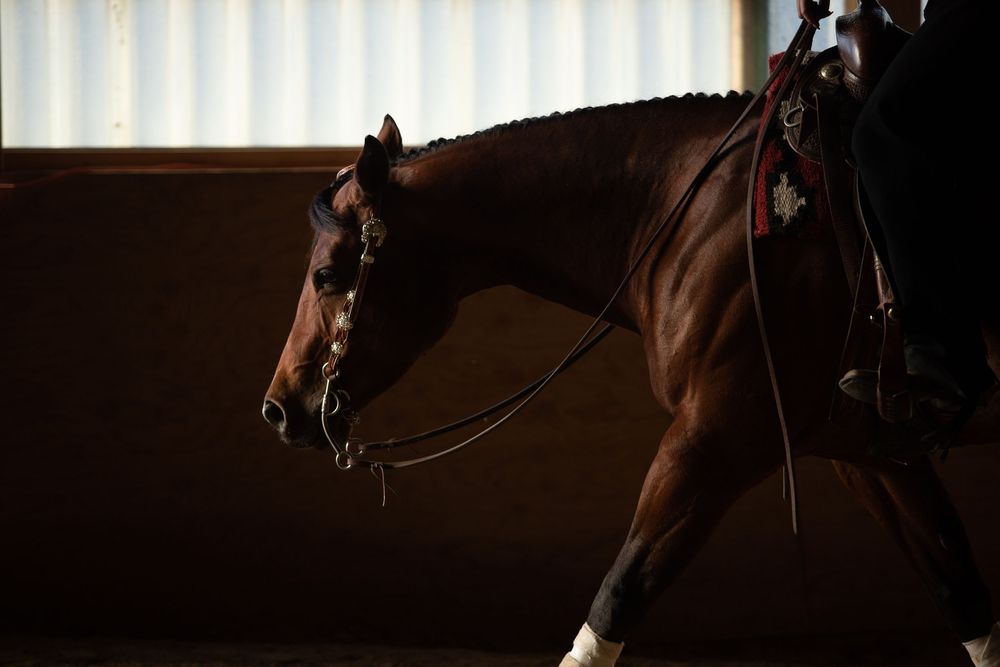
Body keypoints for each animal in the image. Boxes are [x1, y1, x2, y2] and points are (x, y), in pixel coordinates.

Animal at [262, 98, 1000, 665]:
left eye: (327, 274)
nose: (280, 408)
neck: (695, 214)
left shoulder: (716, 439)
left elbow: (618, 596)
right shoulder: (872, 452)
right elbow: (963, 595)